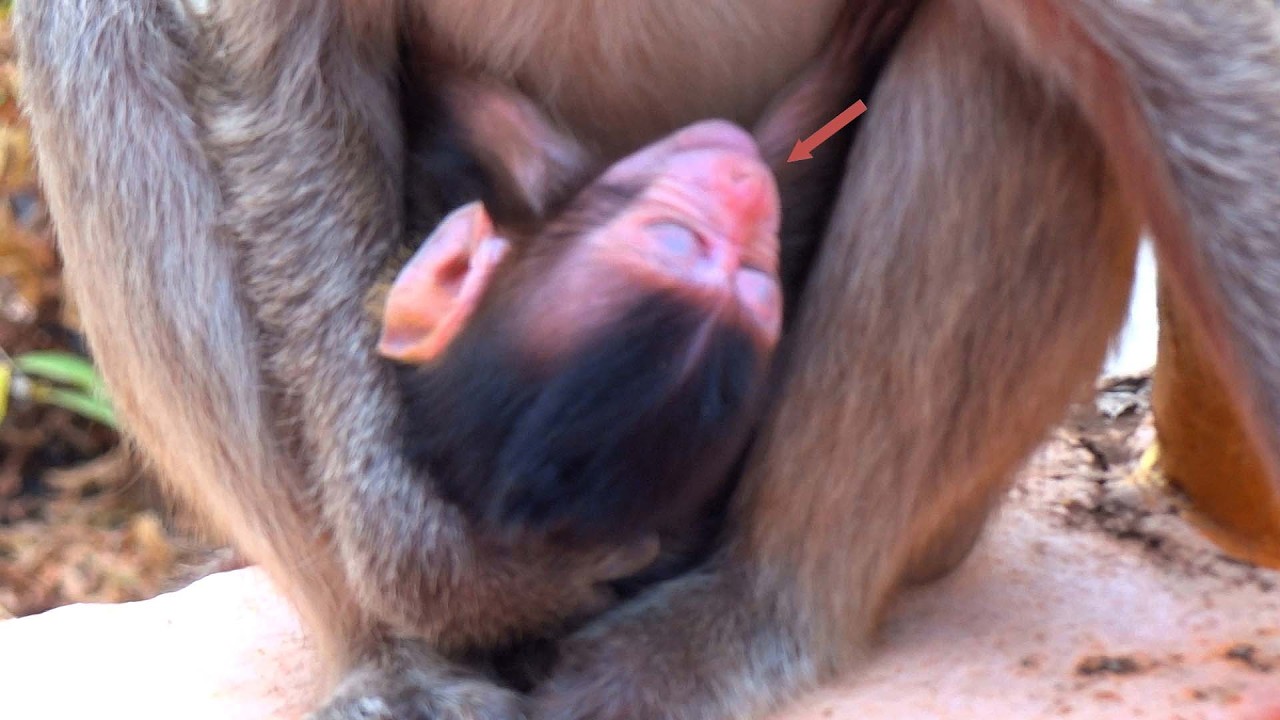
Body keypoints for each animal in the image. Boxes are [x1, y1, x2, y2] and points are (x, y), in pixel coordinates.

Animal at [16, 1, 1280, 720]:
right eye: (669, 232)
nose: (729, 191)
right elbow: (279, 54)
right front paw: (447, 573)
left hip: (938, 528)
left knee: (1009, 63)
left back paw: (757, 605)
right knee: (94, 18)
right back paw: (400, 656)